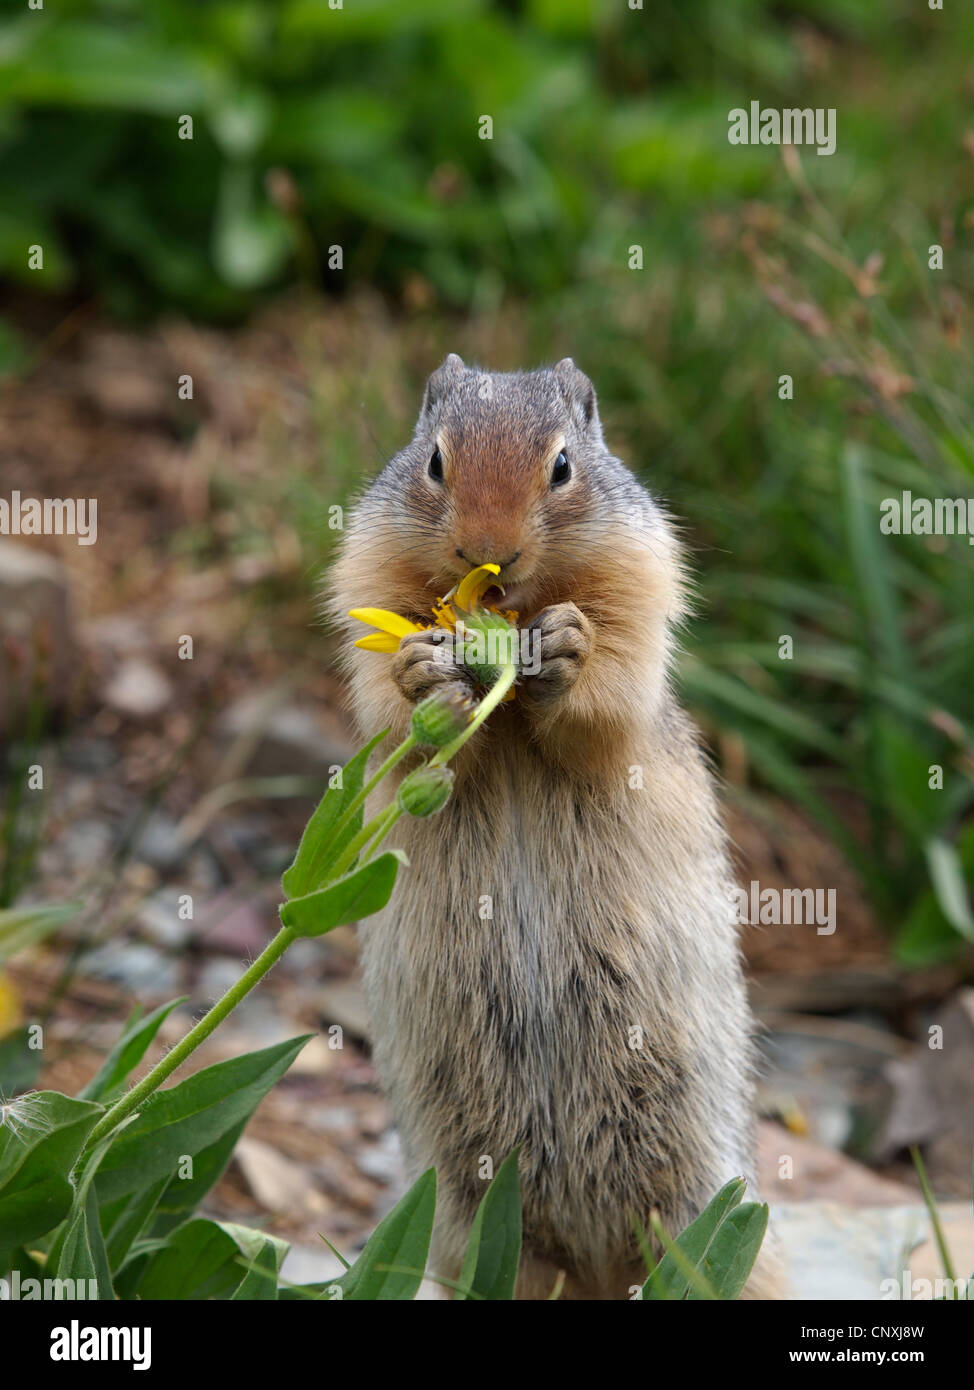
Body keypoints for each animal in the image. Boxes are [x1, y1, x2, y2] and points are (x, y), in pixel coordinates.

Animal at [330, 353, 778, 1295]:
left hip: (704, 1191)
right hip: (469, 1208)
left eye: (563, 466)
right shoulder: (368, 572)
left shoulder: (642, 575)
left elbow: (614, 684)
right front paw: (422, 667)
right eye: (435, 460)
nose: (486, 552)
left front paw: (570, 644)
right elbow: (386, 693)